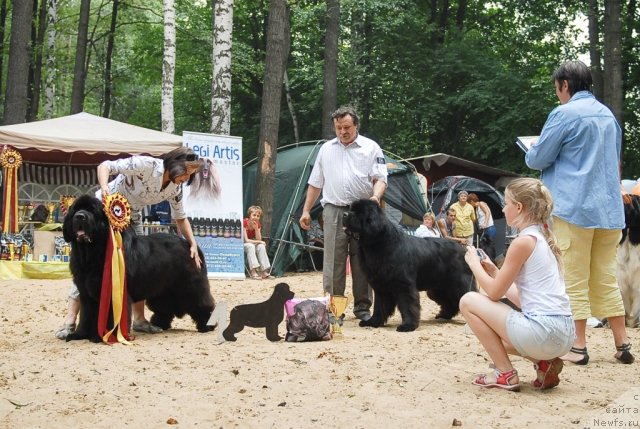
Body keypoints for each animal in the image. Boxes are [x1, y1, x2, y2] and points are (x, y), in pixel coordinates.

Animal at [63, 195, 216, 342]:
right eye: (75, 210)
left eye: (92, 211)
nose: (80, 216)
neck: (91, 252)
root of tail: (191, 245)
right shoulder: (86, 292)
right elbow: (86, 315)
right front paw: (79, 334)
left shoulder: (114, 291)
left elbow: (111, 316)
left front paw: (105, 336)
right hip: (162, 289)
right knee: (166, 306)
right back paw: (159, 323)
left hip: (189, 286)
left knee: (201, 303)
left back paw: (206, 325)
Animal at [344, 200, 476, 332]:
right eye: (351, 209)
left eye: (359, 213)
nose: (345, 214)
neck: (380, 243)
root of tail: (463, 249)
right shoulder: (381, 286)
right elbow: (379, 306)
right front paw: (373, 322)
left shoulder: (404, 284)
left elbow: (407, 305)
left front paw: (408, 325)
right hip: (439, 288)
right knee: (450, 302)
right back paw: (443, 315)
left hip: (459, 283)